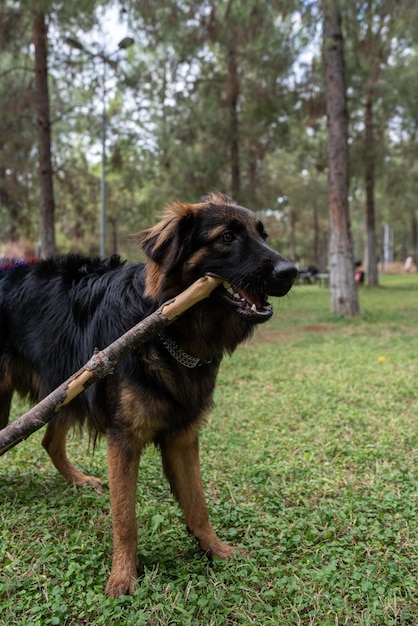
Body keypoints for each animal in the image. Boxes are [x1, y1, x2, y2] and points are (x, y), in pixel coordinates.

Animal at [0, 190, 298, 596]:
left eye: (262, 234)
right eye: (226, 237)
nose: (291, 272)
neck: (167, 331)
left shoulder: (183, 437)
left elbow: (198, 503)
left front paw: (216, 549)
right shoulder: (124, 438)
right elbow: (125, 517)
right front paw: (123, 576)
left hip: (68, 387)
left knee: (50, 441)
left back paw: (79, 481)